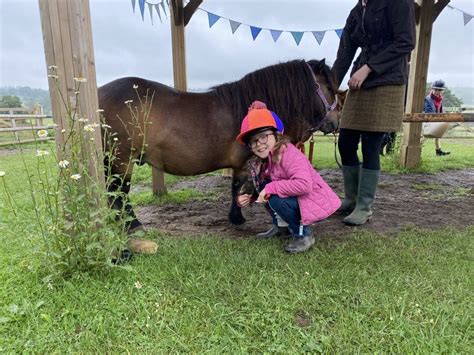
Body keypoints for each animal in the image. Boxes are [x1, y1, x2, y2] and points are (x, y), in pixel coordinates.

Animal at [98, 59, 338, 231]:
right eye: (328, 86)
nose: (335, 122)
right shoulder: (244, 162)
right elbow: (238, 187)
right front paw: (237, 218)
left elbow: (236, 187)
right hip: (121, 160)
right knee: (119, 191)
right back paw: (133, 225)